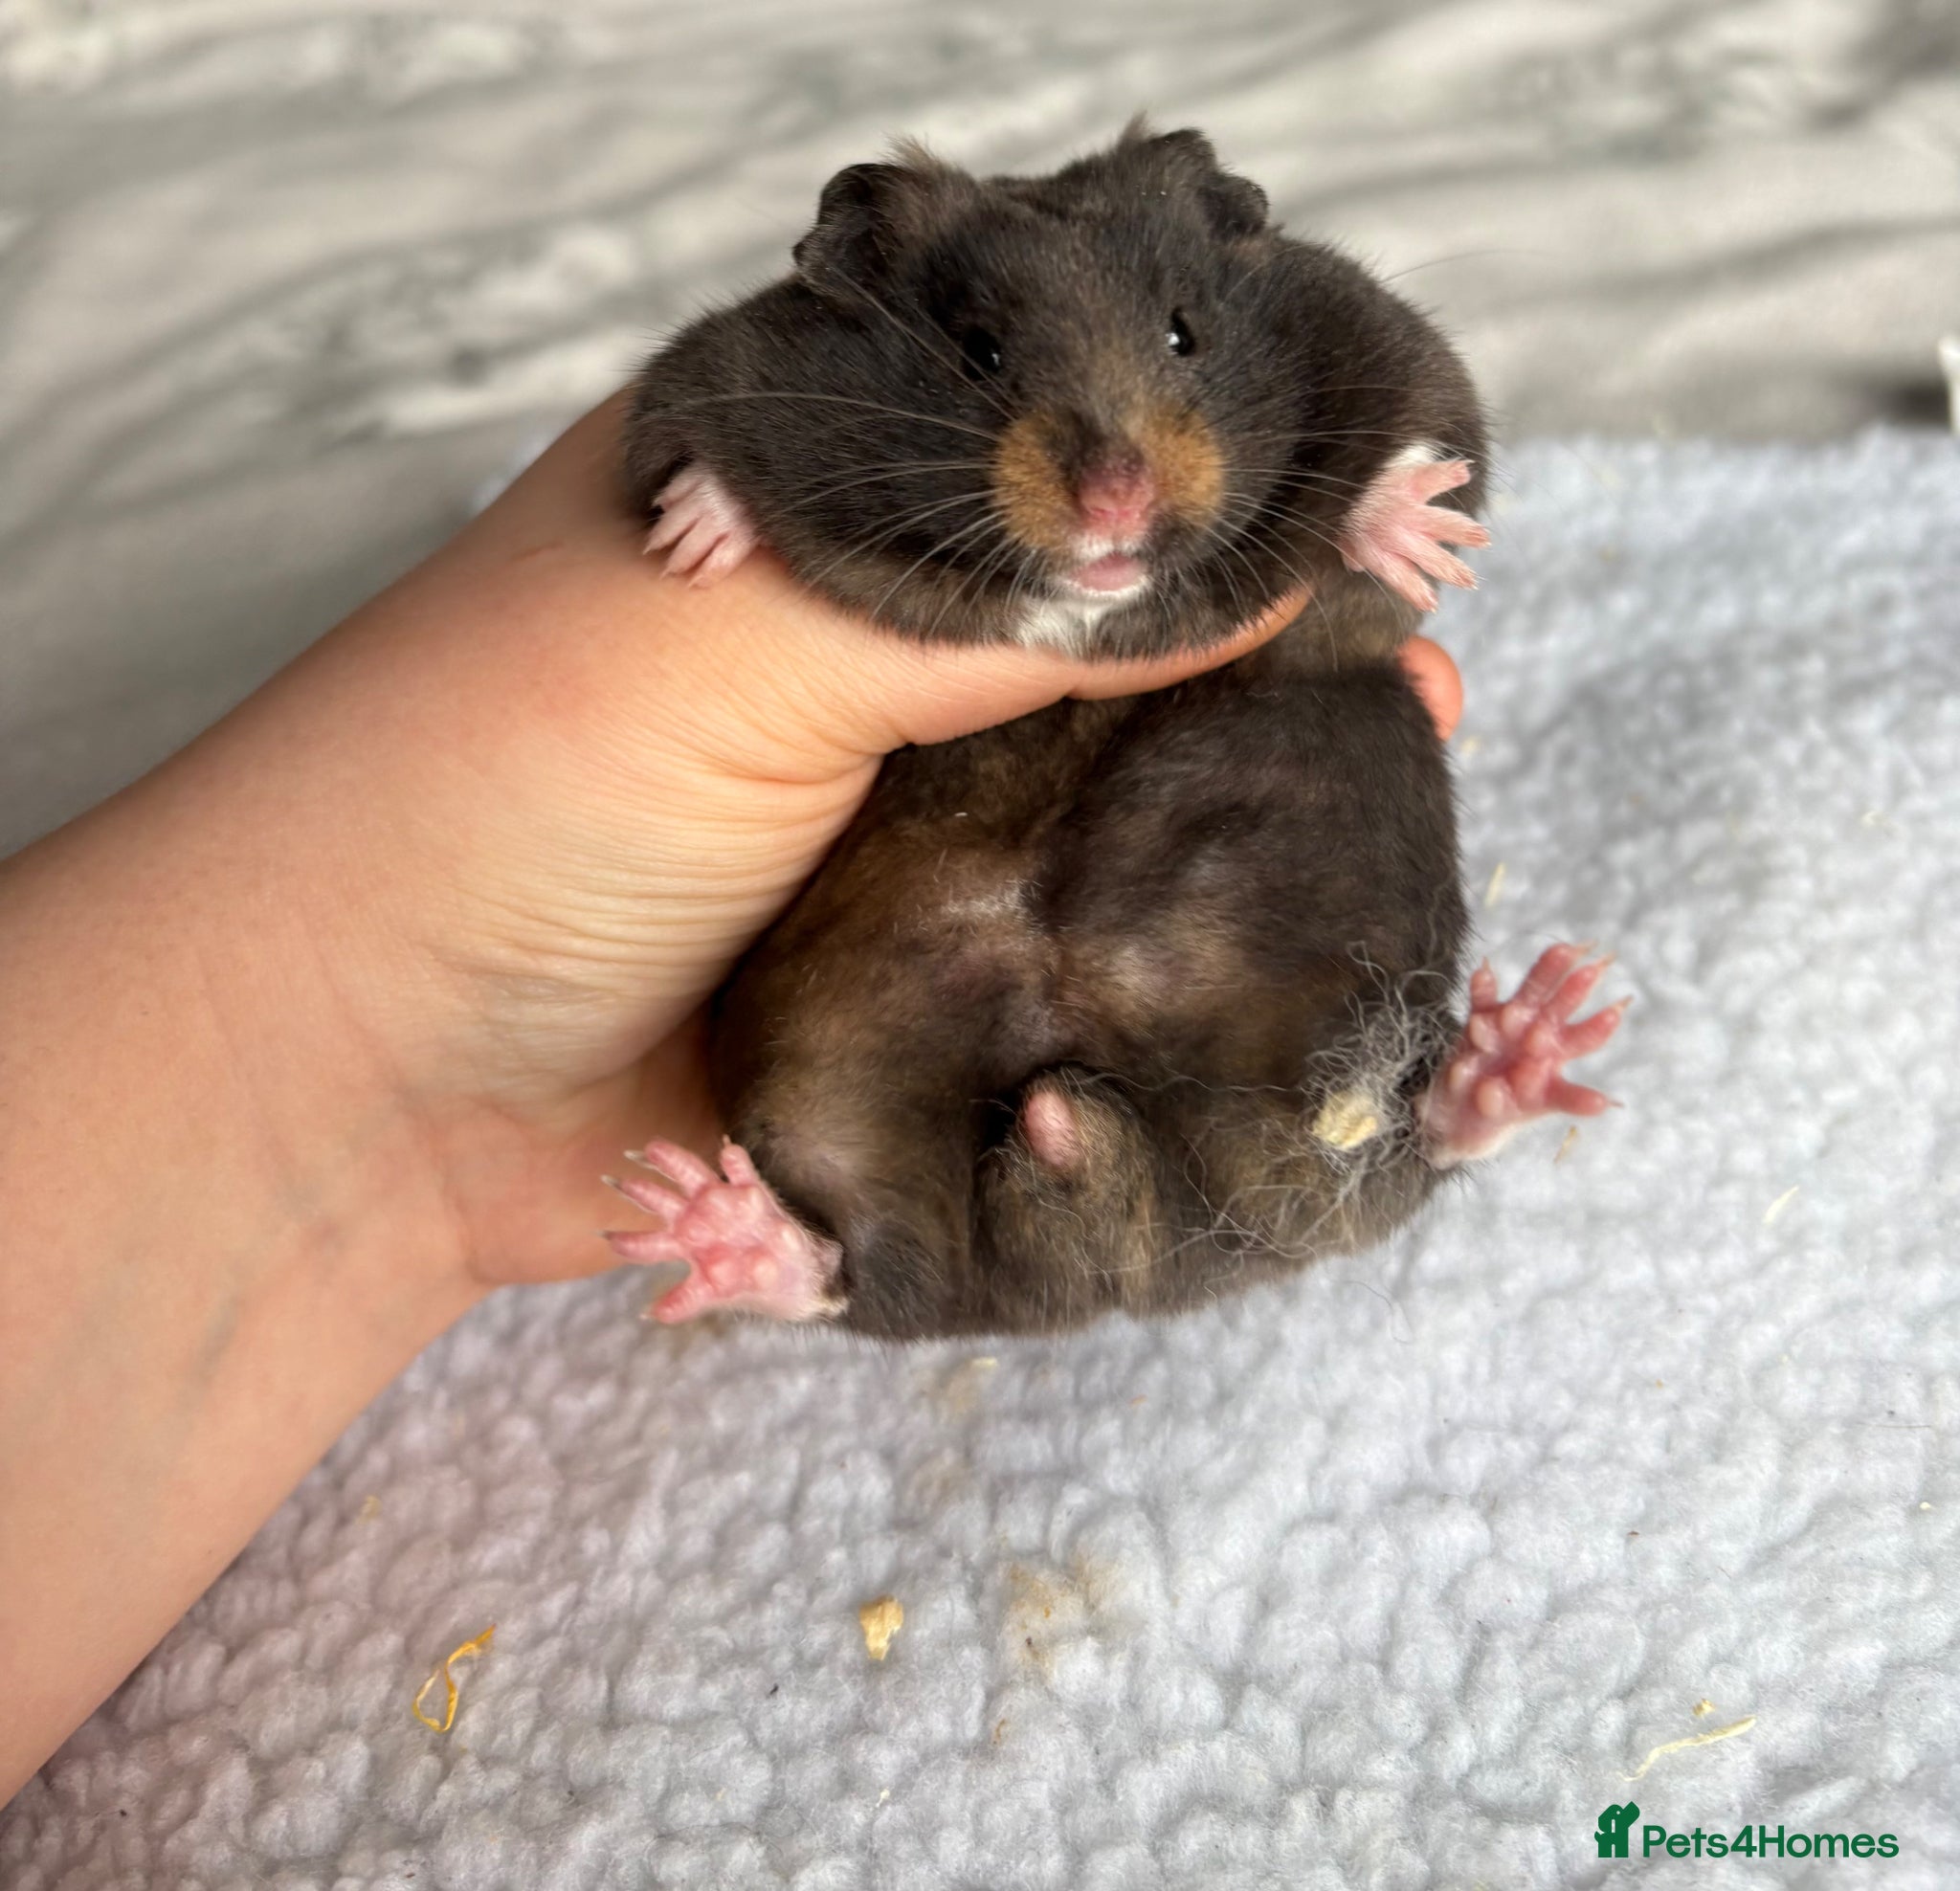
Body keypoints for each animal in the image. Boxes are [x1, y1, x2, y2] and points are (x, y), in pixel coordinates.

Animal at [604, 122, 1624, 1340]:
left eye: (1183, 332)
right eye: (980, 352)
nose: (1115, 503)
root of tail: (1116, 1228)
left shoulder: (1389, 352)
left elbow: (1406, 496)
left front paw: (1405, 525)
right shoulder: (708, 374)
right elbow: (687, 456)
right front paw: (692, 538)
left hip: (1308, 1086)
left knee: (1388, 1145)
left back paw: (1529, 1038)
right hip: (830, 1098)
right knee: (865, 1264)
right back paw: (713, 1227)